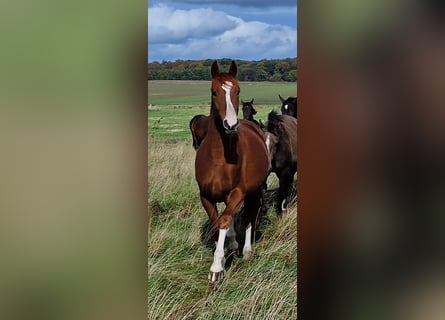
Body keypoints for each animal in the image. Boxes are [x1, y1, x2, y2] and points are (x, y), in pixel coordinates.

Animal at [194, 61, 268, 284]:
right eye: (214, 92)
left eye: (238, 90)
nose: (231, 124)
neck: (219, 157)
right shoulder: (205, 196)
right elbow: (216, 222)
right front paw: (228, 246)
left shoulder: (238, 193)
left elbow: (225, 220)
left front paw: (217, 267)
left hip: (255, 190)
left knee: (251, 214)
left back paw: (247, 250)